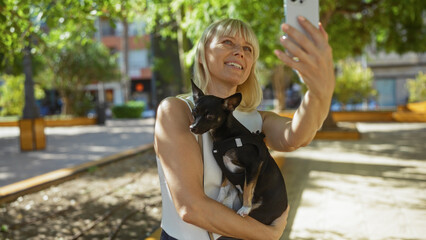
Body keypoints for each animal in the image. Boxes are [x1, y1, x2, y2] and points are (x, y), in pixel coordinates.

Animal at [189, 80, 286, 225]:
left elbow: (247, 188)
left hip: (259, 214)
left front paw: (245, 208)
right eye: (194, 112)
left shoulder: (253, 165)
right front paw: (219, 201)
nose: (192, 127)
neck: (227, 136)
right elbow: (223, 187)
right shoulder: (225, 168)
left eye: (210, 116)